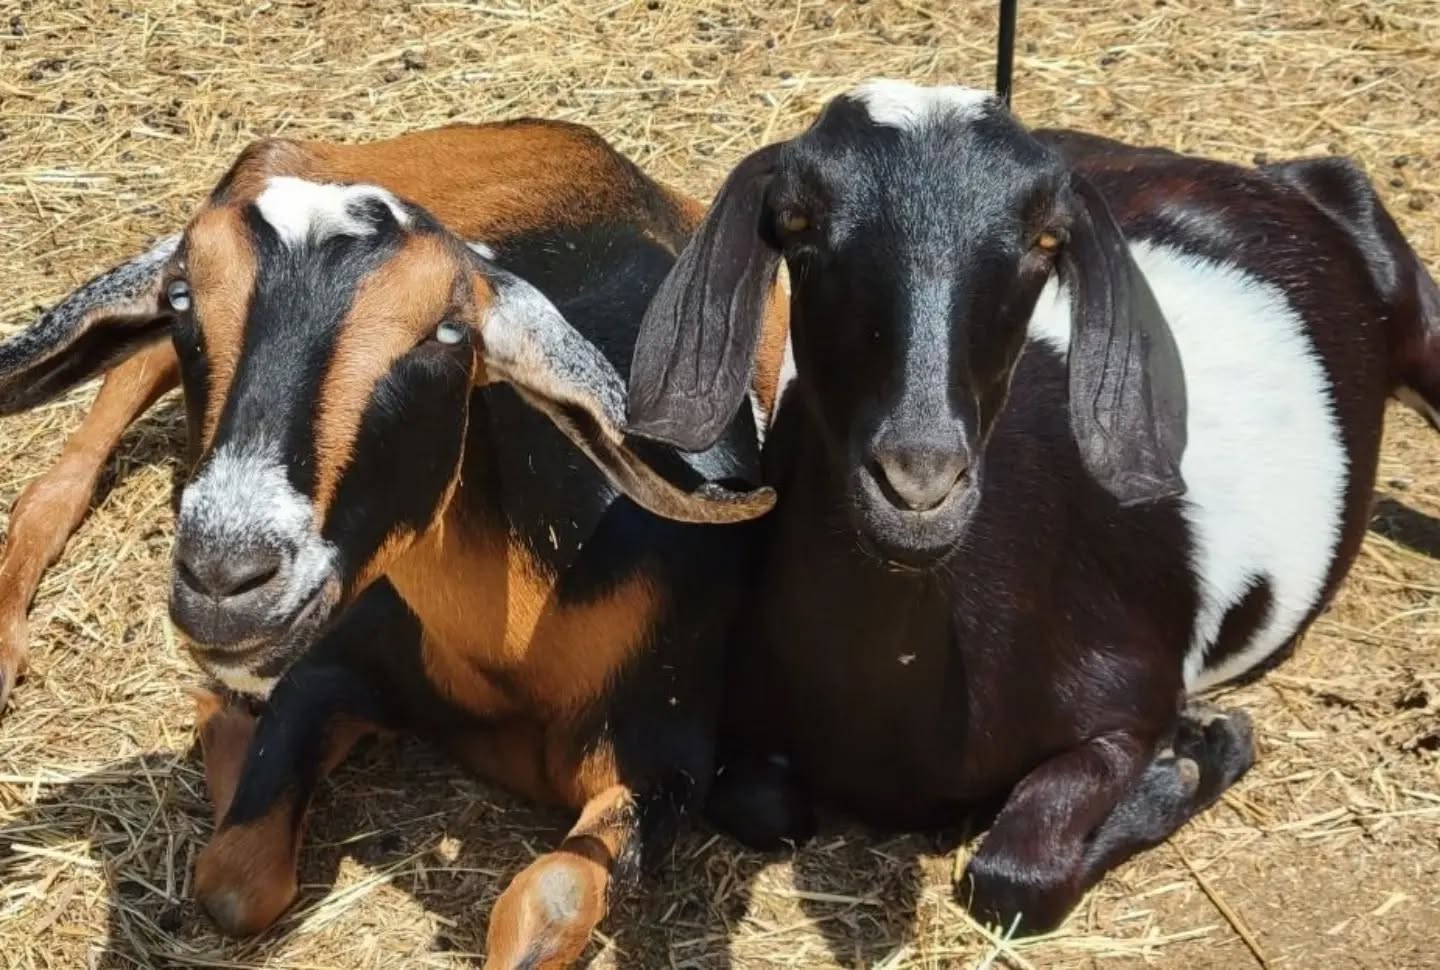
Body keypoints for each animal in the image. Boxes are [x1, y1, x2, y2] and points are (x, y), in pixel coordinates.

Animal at [0, 119, 774, 967]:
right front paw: (224, 723)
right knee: (77, 449)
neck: (511, 646)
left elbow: (555, 894)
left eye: (448, 331)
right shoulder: (329, 665)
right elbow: (234, 877)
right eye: (182, 298)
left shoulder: (666, 761)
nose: (224, 577)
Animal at [626, 79, 1440, 933]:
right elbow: (759, 805)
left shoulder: (1130, 695)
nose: (919, 481)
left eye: (1048, 240)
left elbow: (1014, 873)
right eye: (795, 222)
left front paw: (1191, 761)